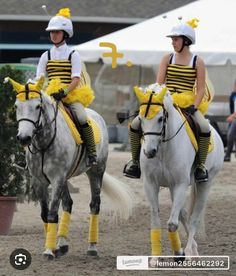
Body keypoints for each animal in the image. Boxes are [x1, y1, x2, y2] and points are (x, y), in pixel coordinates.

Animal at [5, 76, 134, 260]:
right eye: (16, 106)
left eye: (37, 106)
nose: (24, 138)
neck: (43, 144)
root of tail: (97, 115)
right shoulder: (39, 181)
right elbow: (45, 214)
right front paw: (52, 248)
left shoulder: (57, 178)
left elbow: (52, 213)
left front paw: (48, 251)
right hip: (66, 178)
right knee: (68, 203)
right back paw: (62, 245)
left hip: (96, 172)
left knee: (95, 204)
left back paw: (92, 248)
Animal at [136, 85, 224, 256]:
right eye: (141, 119)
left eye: (160, 119)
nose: (149, 152)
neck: (163, 147)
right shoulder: (151, 184)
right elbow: (156, 221)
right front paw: (155, 258)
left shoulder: (181, 184)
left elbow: (172, 224)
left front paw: (180, 253)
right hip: (172, 186)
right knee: (184, 214)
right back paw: (193, 248)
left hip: (205, 183)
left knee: (194, 217)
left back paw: (190, 252)